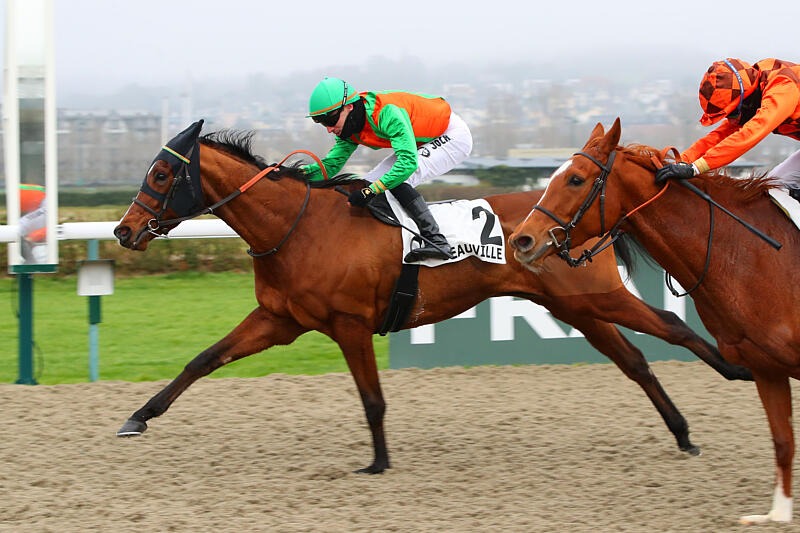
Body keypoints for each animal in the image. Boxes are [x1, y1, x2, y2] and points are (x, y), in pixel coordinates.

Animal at [113, 120, 752, 476]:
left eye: (162, 176)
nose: (123, 229)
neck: (296, 226)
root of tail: (573, 224)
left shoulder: (348, 323)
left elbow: (372, 399)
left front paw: (377, 461)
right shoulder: (278, 319)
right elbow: (202, 360)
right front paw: (137, 418)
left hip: (596, 298)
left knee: (670, 325)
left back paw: (736, 369)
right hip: (577, 308)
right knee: (637, 361)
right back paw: (683, 432)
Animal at [508, 117, 800, 524]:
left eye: (576, 179)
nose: (521, 240)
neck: (754, 256)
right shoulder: (766, 367)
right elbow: (783, 440)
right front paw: (777, 515)